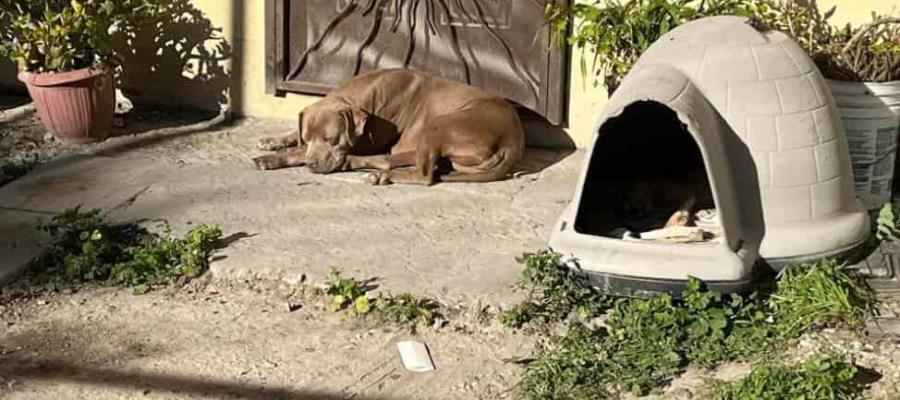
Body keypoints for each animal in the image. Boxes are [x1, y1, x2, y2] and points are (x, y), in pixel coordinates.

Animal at [250, 68, 524, 186]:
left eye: (331, 140)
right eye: (307, 138)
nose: (312, 164)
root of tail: (512, 139)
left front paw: (271, 159)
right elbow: (293, 136)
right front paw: (273, 141)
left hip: (439, 125)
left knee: (422, 175)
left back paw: (380, 175)